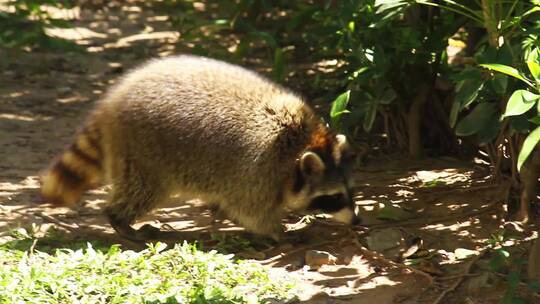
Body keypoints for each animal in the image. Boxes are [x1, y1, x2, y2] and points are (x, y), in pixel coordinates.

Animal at [40, 54, 360, 240]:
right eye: (333, 197)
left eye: (351, 191)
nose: (357, 221)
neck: (304, 144)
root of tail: (112, 102)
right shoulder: (259, 168)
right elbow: (252, 210)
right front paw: (276, 231)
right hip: (144, 151)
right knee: (142, 190)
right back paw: (120, 220)